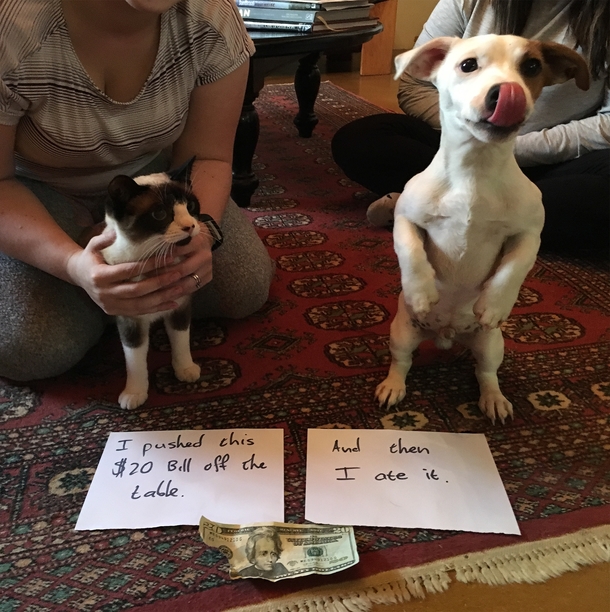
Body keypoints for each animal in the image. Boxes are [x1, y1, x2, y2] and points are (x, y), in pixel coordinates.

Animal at [101, 158, 203, 408]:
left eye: (191, 207)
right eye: (160, 214)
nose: (190, 226)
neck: (154, 263)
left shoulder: (180, 305)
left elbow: (181, 341)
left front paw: (185, 369)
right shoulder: (130, 319)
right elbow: (135, 359)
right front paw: (135, 393)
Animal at [372, 35, 588, 424]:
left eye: (531, 66)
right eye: (468, 65)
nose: (506, 92)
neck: (475, 167)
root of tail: (447, 335)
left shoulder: (529, 233)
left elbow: (513, 269)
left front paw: (494, 304)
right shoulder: (407, 218)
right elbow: (411, 252)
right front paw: (421, 292)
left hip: (491, 345)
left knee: (485, 372)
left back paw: (494, 400)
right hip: (402, 332)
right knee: (402, 361)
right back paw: (393, 386)